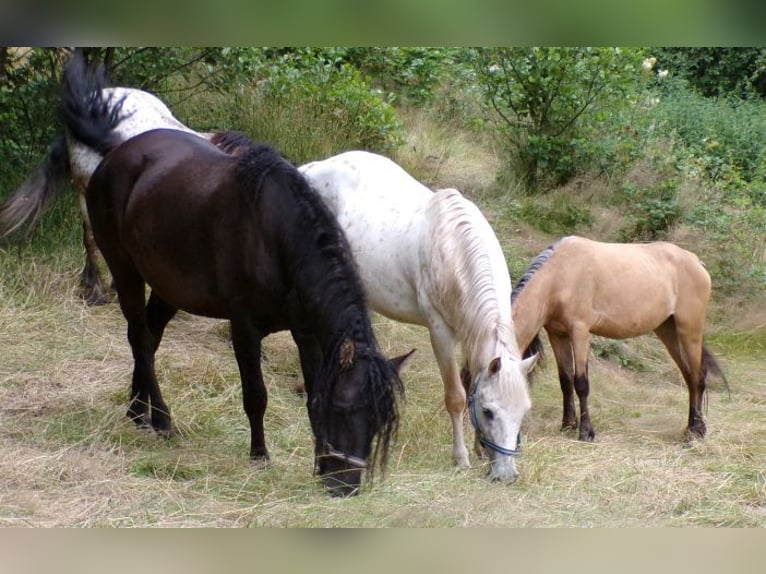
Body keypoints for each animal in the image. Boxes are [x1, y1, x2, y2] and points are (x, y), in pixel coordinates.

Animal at [61, 56, 410, 496]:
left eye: (379, 421)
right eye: (345, 408)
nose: (344, 485)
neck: (277, 237)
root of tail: (116, 152)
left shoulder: (306, 332)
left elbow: (312, 392)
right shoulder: (244, 328)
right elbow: (256, 394)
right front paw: (259, 455)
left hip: (168, 287)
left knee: (149, 339)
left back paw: (138, 411)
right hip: (125, 270)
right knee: (139, 337)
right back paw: (161, 419)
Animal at [299, 151, 536, 483]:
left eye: (523, 411)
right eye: (489, 411)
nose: (505, 475)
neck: (455, 251)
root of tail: (311, 167)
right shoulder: (440, 332)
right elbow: (457, 396)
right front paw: (461, 457)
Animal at [511, 235, 727, 442]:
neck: (559, 275)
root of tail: (696, 262)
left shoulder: (580, 332)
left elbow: (581, 383)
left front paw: (586, 432)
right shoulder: (557, 334)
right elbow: (565, 380)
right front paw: (568, 425)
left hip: (689, 329)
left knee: (698, 376)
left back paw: (697, 431)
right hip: (668, 331)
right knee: (689, 375)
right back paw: (689, 428)